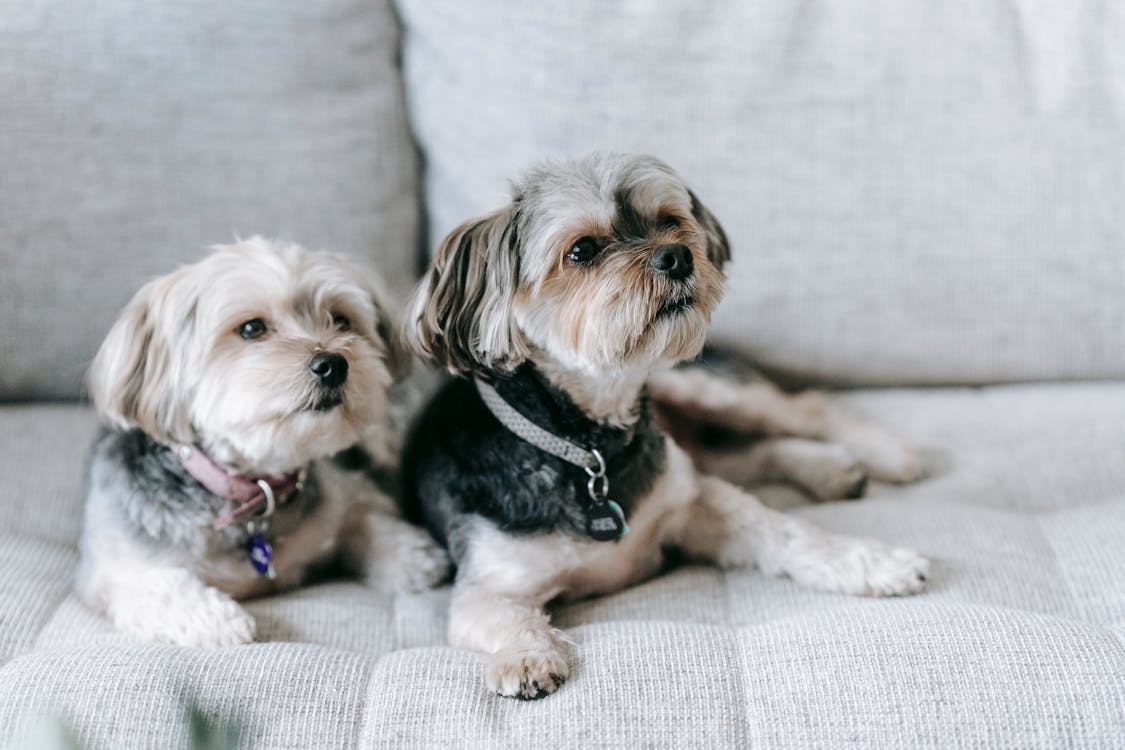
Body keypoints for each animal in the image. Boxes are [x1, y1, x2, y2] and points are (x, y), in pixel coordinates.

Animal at [77, 237, 447, 647]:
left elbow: (365, 516)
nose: (333, 365)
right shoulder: (115, 572)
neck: (252, 488)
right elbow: (161, 588)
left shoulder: (344, 494)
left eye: (341, 320)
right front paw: (218, 620)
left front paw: (411, 555)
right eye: (252, 328)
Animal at [405, 150, 931, 697]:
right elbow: (503, 618)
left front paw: (875, 563)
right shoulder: (486, 587)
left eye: (670, 221)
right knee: (739, 453)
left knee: (801, 410)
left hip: (693, 383)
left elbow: (788, 533)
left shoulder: (693, 504)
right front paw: (526, 659)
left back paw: (886, 454)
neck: (588, 442)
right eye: (582, 250)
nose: (677, 255)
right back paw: (830, 470)